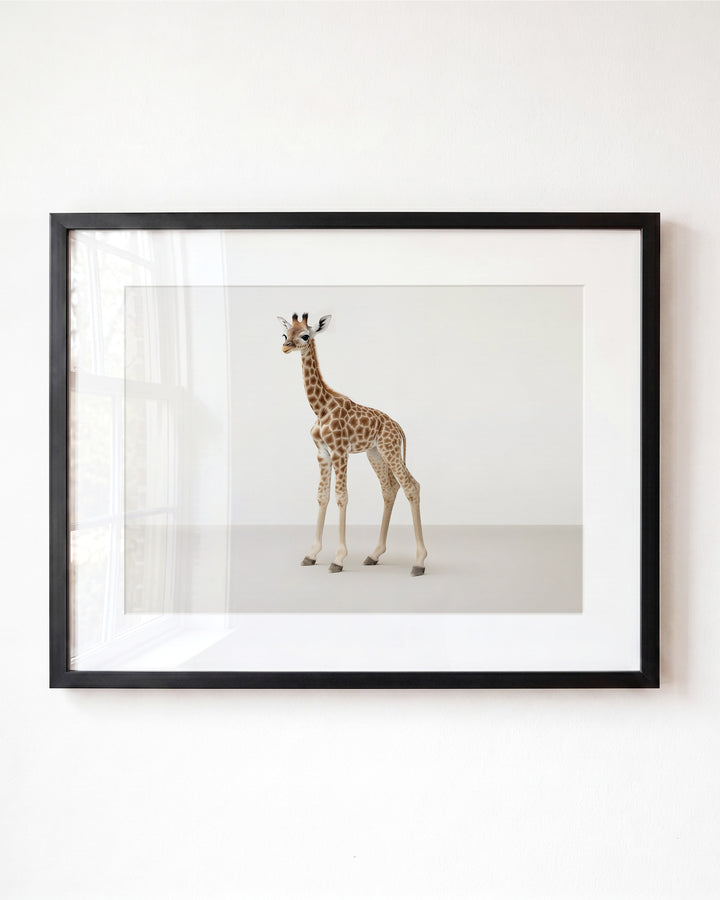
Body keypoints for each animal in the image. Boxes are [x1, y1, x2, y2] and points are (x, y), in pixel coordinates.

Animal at [277, 312, 427, 576]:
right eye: (285, 334)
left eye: (305, 335)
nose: (285, 347)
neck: (320, 408)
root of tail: (398, 427)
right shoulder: (322, 453)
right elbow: (322, 496)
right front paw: (311, 555)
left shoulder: (340, 451)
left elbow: (341, 496)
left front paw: (338, 559)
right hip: (375, 453)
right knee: (389, 489)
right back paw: (374, 554)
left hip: (389, 449)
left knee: (411, 485)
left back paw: (419, 562)